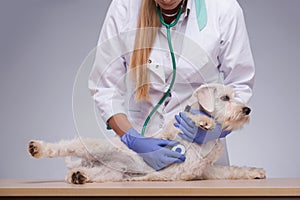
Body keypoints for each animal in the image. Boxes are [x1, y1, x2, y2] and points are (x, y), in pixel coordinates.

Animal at [28, 83, 264, 184]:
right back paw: (38, 148)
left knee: (87, 174)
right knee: (63, 146)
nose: (247, 110)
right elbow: (185, 118)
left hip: (112, 174)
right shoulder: (171, 137)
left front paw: (254, 172)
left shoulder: (203, 170)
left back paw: (78, 176)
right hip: (92, 146)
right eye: (225, 98)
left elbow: (229, 171)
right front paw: (204, 121)